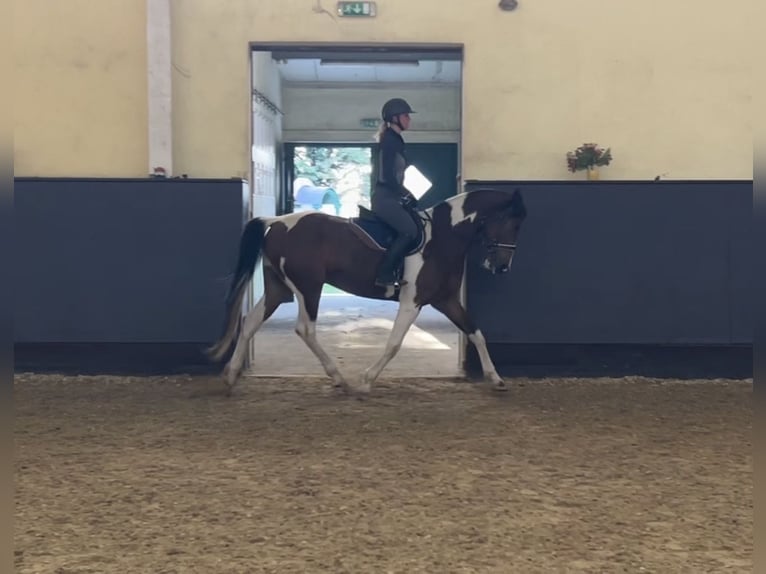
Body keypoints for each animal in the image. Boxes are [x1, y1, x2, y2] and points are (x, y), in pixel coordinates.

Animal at [207, 187, 527, 395]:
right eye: (512, 223)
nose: (501, 267)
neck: (443, 236)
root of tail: (275, 223)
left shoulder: (445, 300)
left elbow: (476, 333)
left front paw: (495, 378)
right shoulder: (412, 301)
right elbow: (394, 343)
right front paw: (366, 380)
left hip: (278, 288)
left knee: (250, 322)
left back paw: (231, 376)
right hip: (309, 287)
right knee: (305, 329)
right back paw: (339, 378)